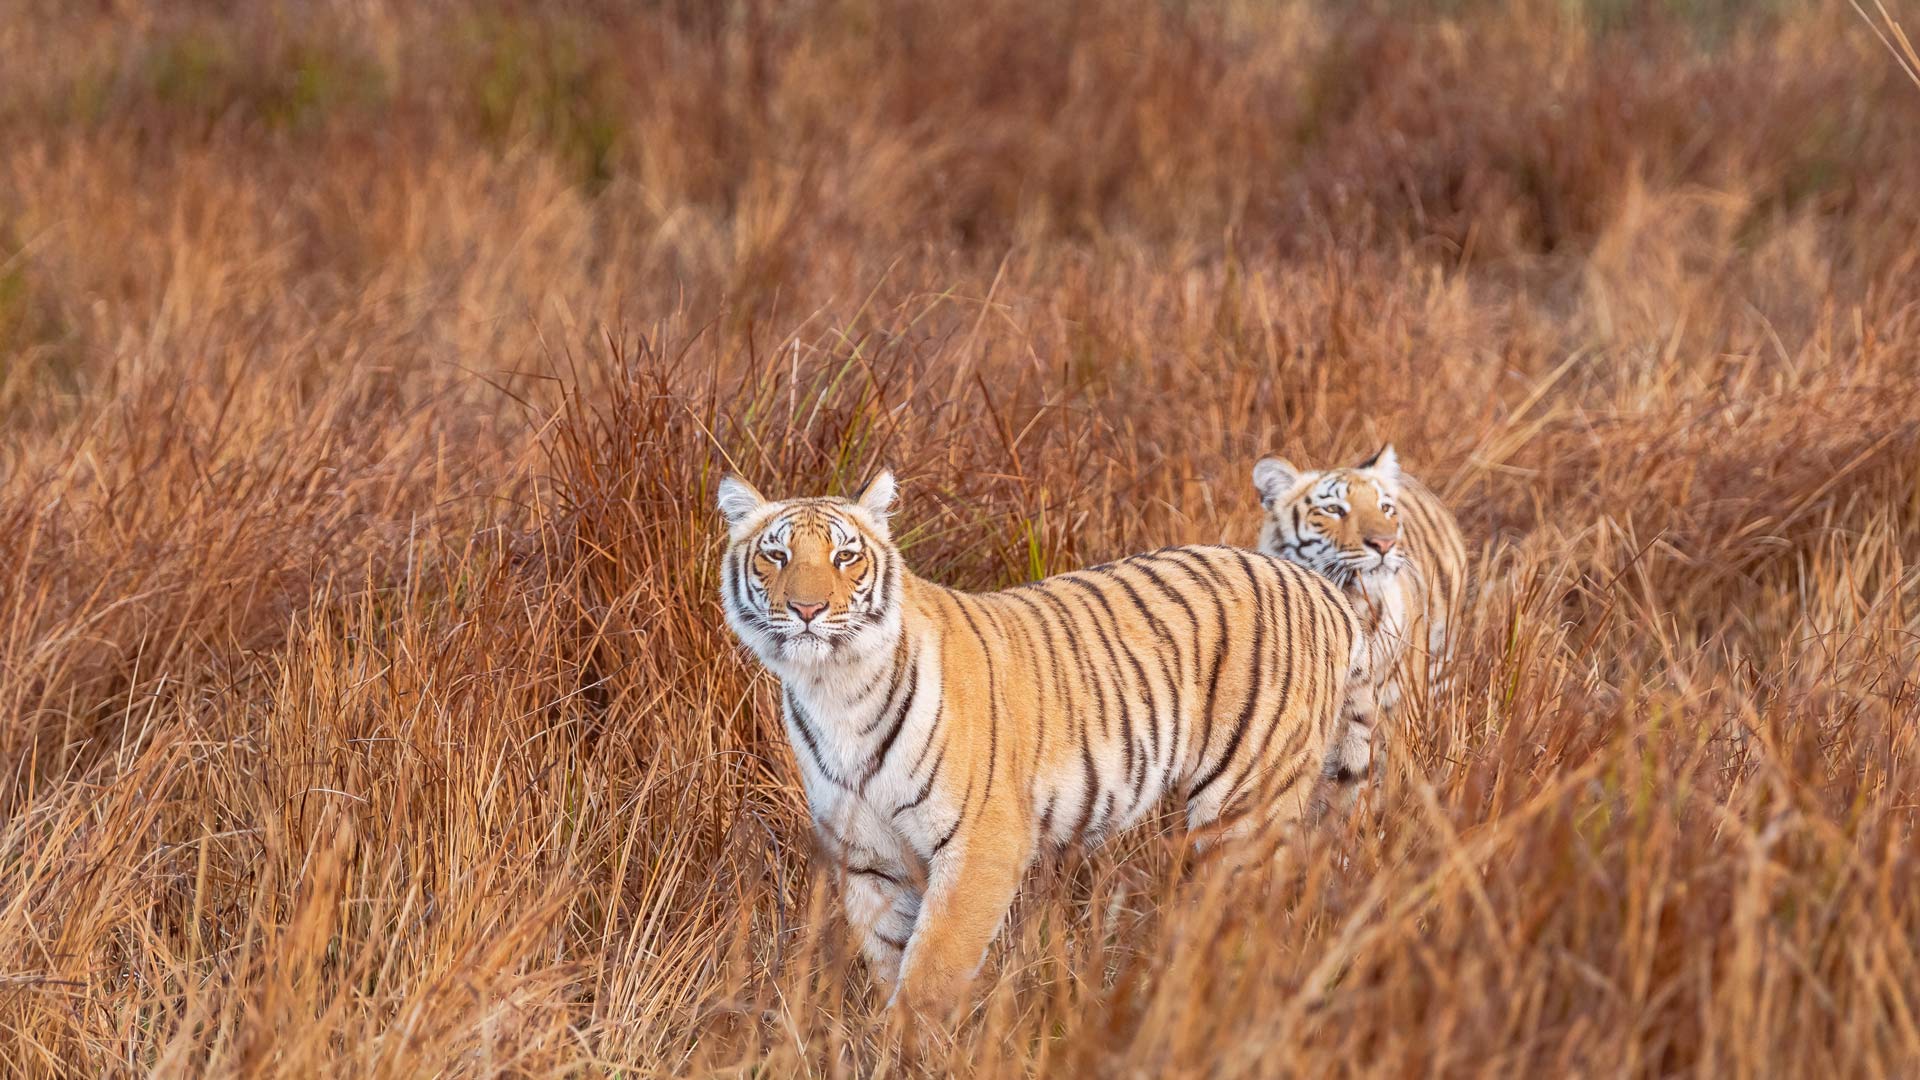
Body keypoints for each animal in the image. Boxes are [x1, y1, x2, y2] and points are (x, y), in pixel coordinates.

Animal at [721, 466, 1367, 1006]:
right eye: (776, 555)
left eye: (845, 556)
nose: (806, 609)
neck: (835, 689)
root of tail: (1322, 589)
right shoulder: (869, 858)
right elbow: (889, 959)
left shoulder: (981, 844)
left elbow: (931, 969)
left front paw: (910, 1049)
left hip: (1245, 809)